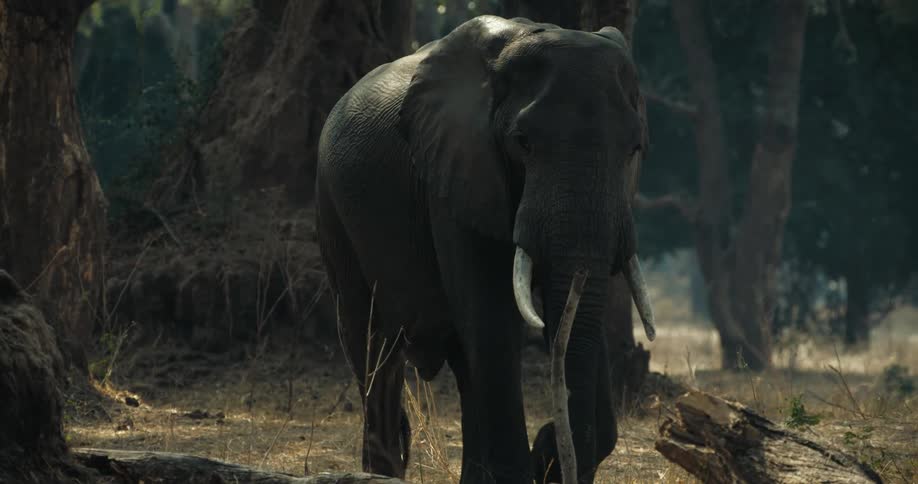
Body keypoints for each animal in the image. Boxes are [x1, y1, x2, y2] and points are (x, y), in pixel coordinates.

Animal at [315, 15, 655, 484]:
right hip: (334, 211)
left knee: (462, 364)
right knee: (373, 345)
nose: (552, 443)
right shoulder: (455, 174)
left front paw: (545, 452)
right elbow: (492, 314)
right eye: (523, 142)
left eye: (634, 149)